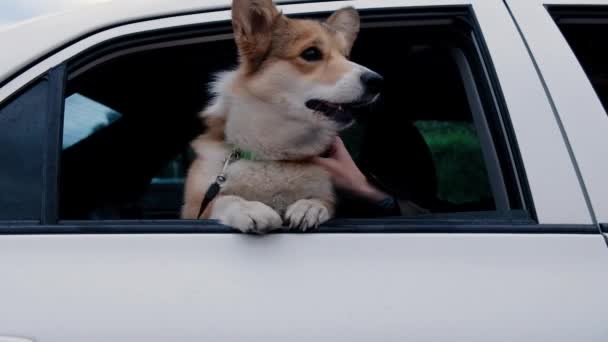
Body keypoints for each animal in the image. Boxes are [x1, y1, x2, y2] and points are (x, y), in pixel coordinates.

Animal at [180, 0, 382, 232]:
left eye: (346, 57)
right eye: (311, 53)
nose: (378, 81)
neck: (273, 157)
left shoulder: (327, 192)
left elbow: (322, 201)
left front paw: (309, 207)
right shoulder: (196, 205)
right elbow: (225, 200)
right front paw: (250, 209)